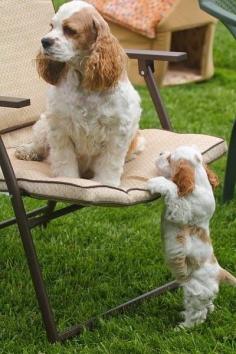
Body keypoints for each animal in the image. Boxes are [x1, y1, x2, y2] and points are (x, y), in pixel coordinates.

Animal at [16, 0, 143, 187]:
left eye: (70, 30)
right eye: (51, 26)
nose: (44, 41)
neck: (84, 82)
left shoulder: (117, 131)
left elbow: (110, 164)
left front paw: (106, 183)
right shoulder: (60, 127)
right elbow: (64, 162)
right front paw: (66, 180)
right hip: (43, 123)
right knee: (39, 144)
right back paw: (26, 150)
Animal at [148, 145, 236, 328]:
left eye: (170, 158)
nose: (160, 153)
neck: (199, 181)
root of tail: (220, 272)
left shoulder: (181, 212)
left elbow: (173, 189)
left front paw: (156, 182)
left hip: (196, 291)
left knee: (199, 314)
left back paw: (183, 327)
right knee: (209, 306)